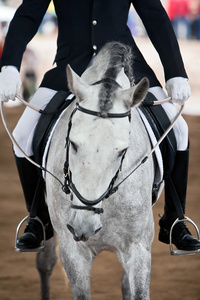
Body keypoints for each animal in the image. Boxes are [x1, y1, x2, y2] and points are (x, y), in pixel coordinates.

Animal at [36, 42, 155, 300]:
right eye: (72, 143)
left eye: (122, 151)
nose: (83, 227)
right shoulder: (73, 250)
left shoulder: (138, 248)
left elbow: (137, 290)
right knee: (45, 263)